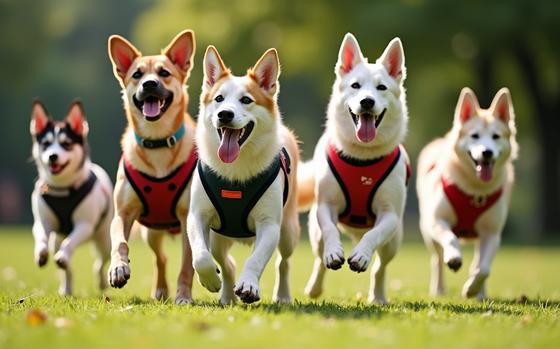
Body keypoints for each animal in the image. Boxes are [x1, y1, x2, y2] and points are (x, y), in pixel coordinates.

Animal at [29, 99, 114, 294]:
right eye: (45, 144)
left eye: (66, 143)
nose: (53, 156)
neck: (62, 188)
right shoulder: (42, 222)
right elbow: (41, 235)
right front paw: (41, 253)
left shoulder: (84, 225)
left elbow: (69, 242)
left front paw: (63, 255)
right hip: (57, 239)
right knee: (67, 267)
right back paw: (66, 288)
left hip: (104, 239)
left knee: (100, 262)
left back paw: (101, 282)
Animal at [107, 29, 197, 302]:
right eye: (137, 75)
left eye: (164, 73)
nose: (149, 84)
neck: (157, 143)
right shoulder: (123, 213)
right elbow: (119, 242)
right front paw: (118, 268)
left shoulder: (189, 218)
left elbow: (187, 264)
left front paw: (183, 296)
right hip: (151, 232)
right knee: (161, 258)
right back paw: (160, 290)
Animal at [187, 44, 302, 304]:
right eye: (219, 99)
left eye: (246, 100)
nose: (225, 114)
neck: (236, 168)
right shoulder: (198, 215)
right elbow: (201, 255)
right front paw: (210, 280)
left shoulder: (269, 225)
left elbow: (255, 260)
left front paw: (249, 285)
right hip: (218, 237)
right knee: (226, 263)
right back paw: (227, 295)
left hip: (288, 231)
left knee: (284, 263)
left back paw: (282, 295)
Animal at [298, 33, 412, 304]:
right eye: (355, 86)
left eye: (381, 88)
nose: (367, 101)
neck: (363, 156)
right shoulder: (325, 206)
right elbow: (331, 230)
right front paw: (334, 253)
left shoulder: (390, 215)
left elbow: (373, 236)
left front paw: (360, 256)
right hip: (314, 232)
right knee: (319, 257)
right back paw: (315, 287)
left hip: (395, 240)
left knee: (381, 266)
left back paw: (377, 296)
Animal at [418, 87, 520, 300]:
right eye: (475, 136)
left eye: (496, 136)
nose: (487, 152)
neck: (475, 190)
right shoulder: (437, 220)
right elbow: (450, 238)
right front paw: (454, 257)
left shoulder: (492, 233)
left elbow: (483, 269)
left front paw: (471, 289)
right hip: (428, 232)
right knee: (437, 259)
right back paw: (439, 289)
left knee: (478, 262)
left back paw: (481, 293)